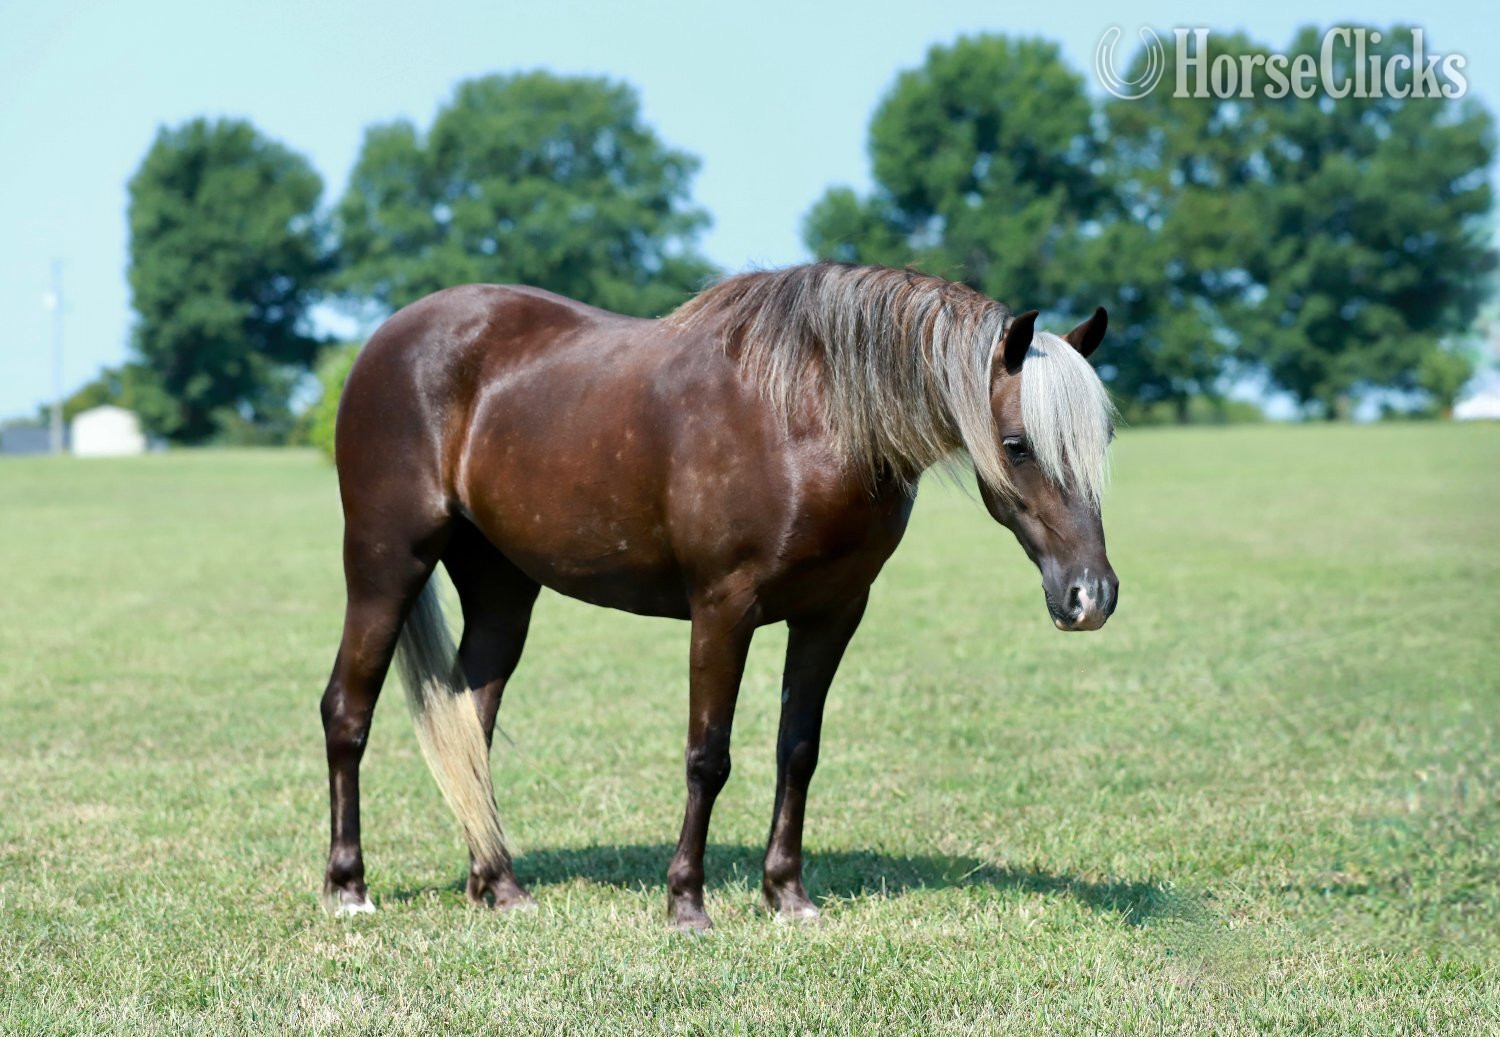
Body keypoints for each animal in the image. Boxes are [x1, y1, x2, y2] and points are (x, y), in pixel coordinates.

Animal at [319, 262, 1118, 930]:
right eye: (1015, 444)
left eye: (1103, 440)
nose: (1091, 596)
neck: (808, 416)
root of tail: (387, 339)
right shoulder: (722, 610)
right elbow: (708, 756)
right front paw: (686, 903)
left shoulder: (833, 613)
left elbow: (798, 751)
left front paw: (788, 895)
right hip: (386, 565)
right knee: (347, 711)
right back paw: (349, 888)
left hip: (502, 588)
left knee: (468, 726)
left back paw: (498, 884)